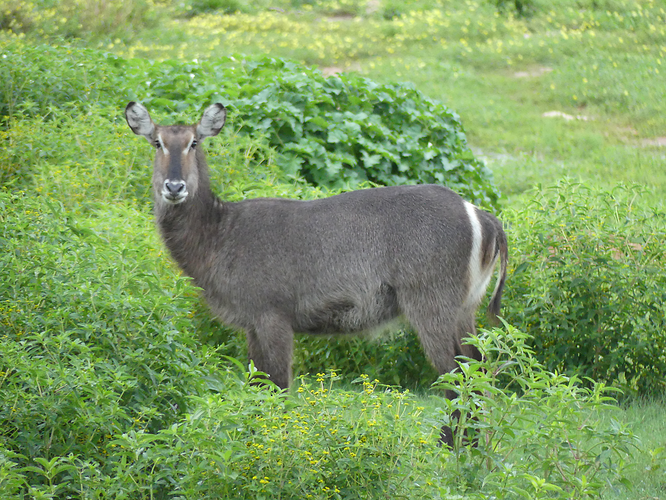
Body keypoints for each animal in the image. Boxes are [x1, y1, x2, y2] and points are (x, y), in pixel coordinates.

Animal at [126, 100, 508, 446]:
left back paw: (449, 449)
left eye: (194, 142)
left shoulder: (272, 315)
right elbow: (256, 386)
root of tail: (481, 214)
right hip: (465, 308)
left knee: (458, 376)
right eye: (157, 142)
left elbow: (277, 387)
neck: (219, 235)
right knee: (480, 370)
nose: (174, 187)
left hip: (431, 303)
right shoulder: (251, 325)